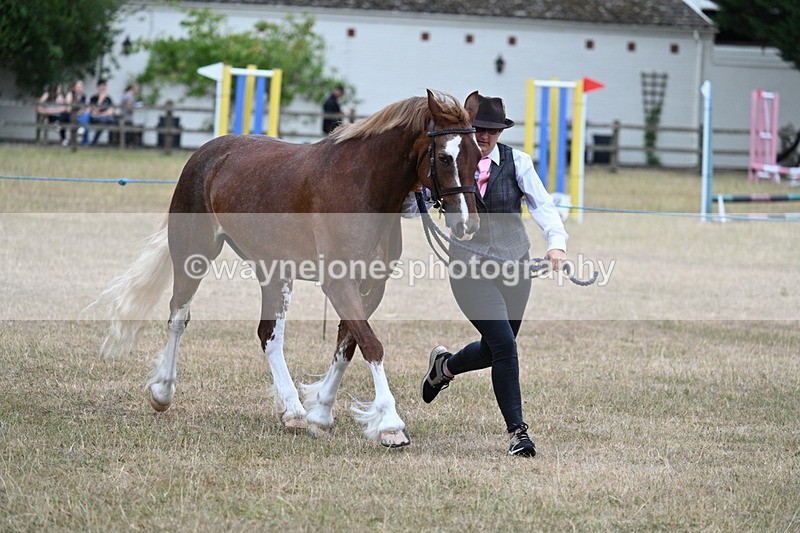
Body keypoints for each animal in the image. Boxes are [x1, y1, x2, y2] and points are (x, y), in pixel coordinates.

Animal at [95, 89, 482, 447]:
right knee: (179, 317)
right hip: (194, 253)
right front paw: (389, 424)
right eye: (445, 156)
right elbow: (372, 345)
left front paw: (321, 414)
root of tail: (207, 153)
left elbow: (348, 346)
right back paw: (163, 392)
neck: (362, 186)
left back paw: (291, 410)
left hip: (274, 271)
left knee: (269, 335)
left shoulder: (371, 285)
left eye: (479, 155)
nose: (468, 224)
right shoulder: (338, 283)